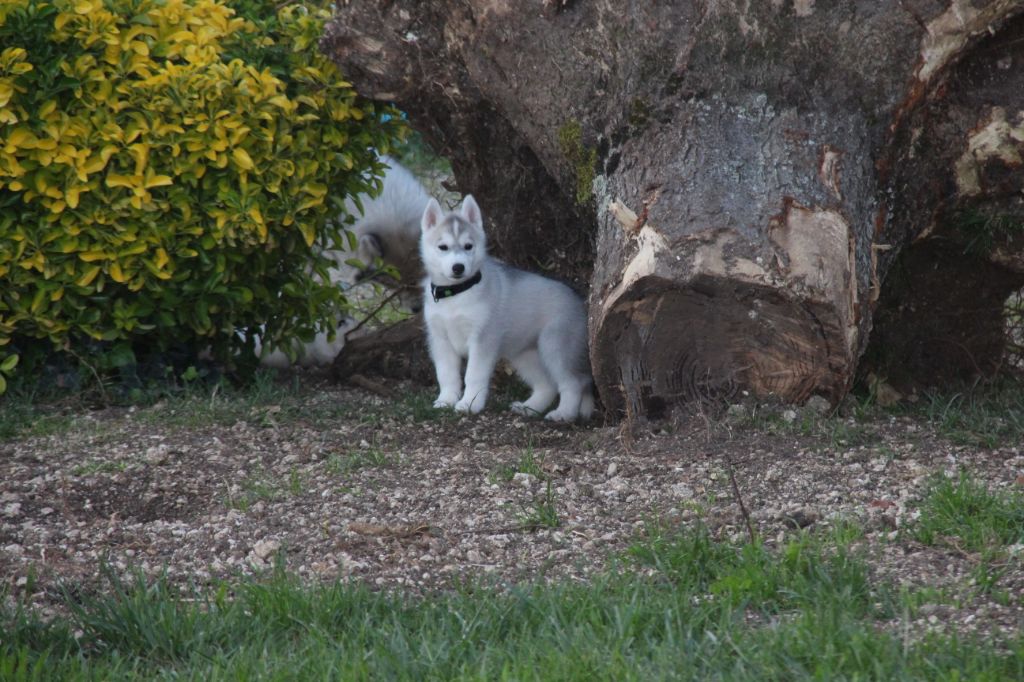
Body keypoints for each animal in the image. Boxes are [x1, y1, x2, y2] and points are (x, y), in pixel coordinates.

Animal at [420, 194, 594, 421]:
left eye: (468, 246)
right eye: (443, 247)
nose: (458, 267)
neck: (456, 294)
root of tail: (578, 299)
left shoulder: (482, 339)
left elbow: (473, 375)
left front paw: (469, 404)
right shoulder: (440, 339)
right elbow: (446, 373)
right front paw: (446, 400)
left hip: (555, 346)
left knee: (573, 382)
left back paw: (563, 414)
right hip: (524, 354)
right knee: (547, 385)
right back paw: (530, 408)